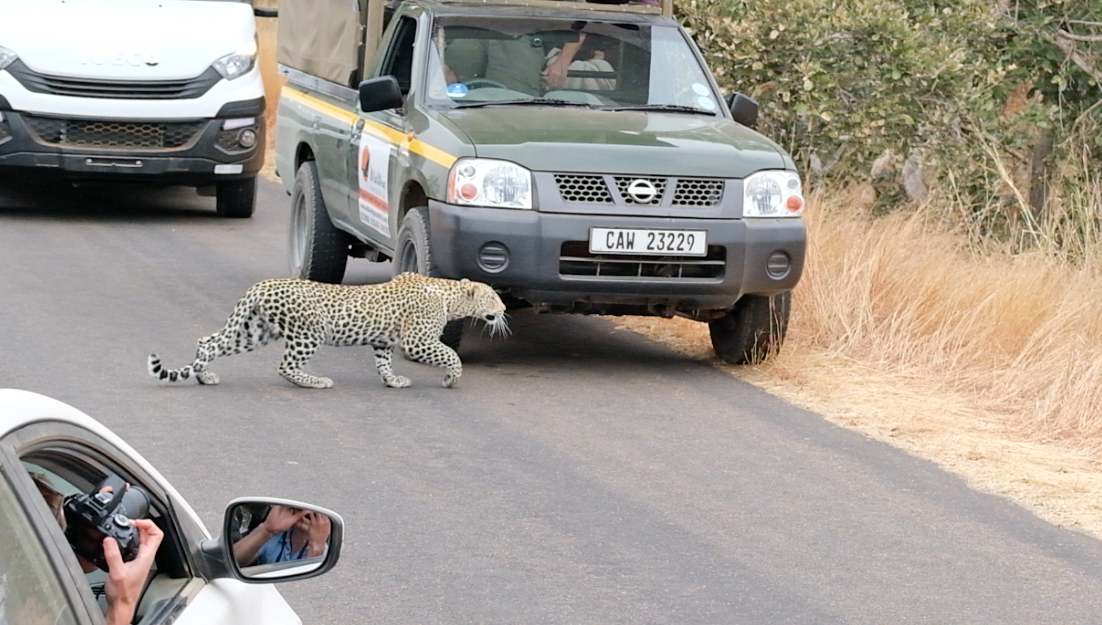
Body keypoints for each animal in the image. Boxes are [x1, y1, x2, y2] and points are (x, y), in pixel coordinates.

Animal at [147, 272, 508, 389]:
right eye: (493, 298)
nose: (505, 310)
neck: (449, 295)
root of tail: (261, 285)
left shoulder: (383, 342)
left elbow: (384, 364)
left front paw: (392, 381)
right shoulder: (417, 341)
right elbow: (449, 355)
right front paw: (450, 379)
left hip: (253, 331)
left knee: (207, 342)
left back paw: (205, 376)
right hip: (308, 334)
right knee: (285, 366)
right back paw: (316, 382)